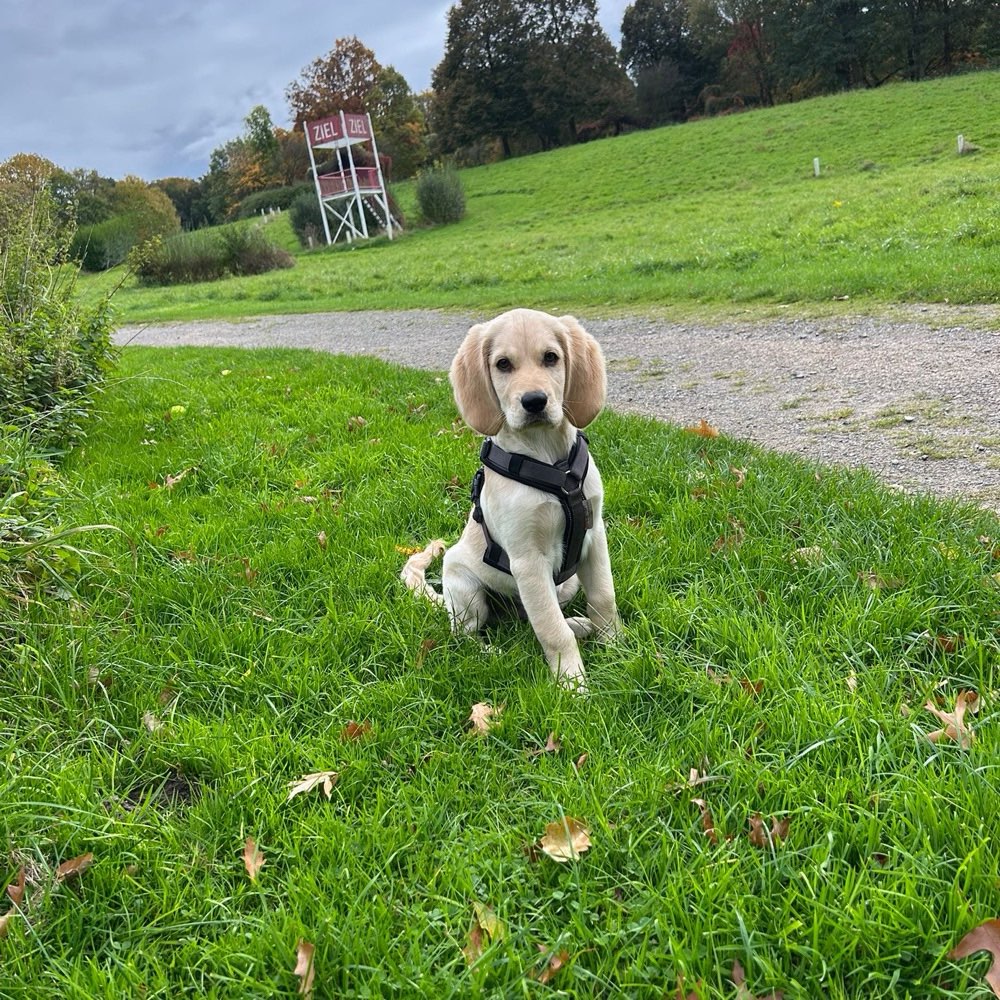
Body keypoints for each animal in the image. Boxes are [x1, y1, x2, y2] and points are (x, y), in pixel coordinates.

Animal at [400, 310, 616, 688]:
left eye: (551, 358)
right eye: (503, 364)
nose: (534, 401)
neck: (550, 463)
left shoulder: (594, 535)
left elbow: (603, 598)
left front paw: (620, 648)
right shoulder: (528, 559)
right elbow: (551, 630)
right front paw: (571, 684)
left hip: (567, 583)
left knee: (532, 617)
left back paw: (579, 625)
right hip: (465, 588)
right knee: (465, 635)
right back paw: (494, 656)